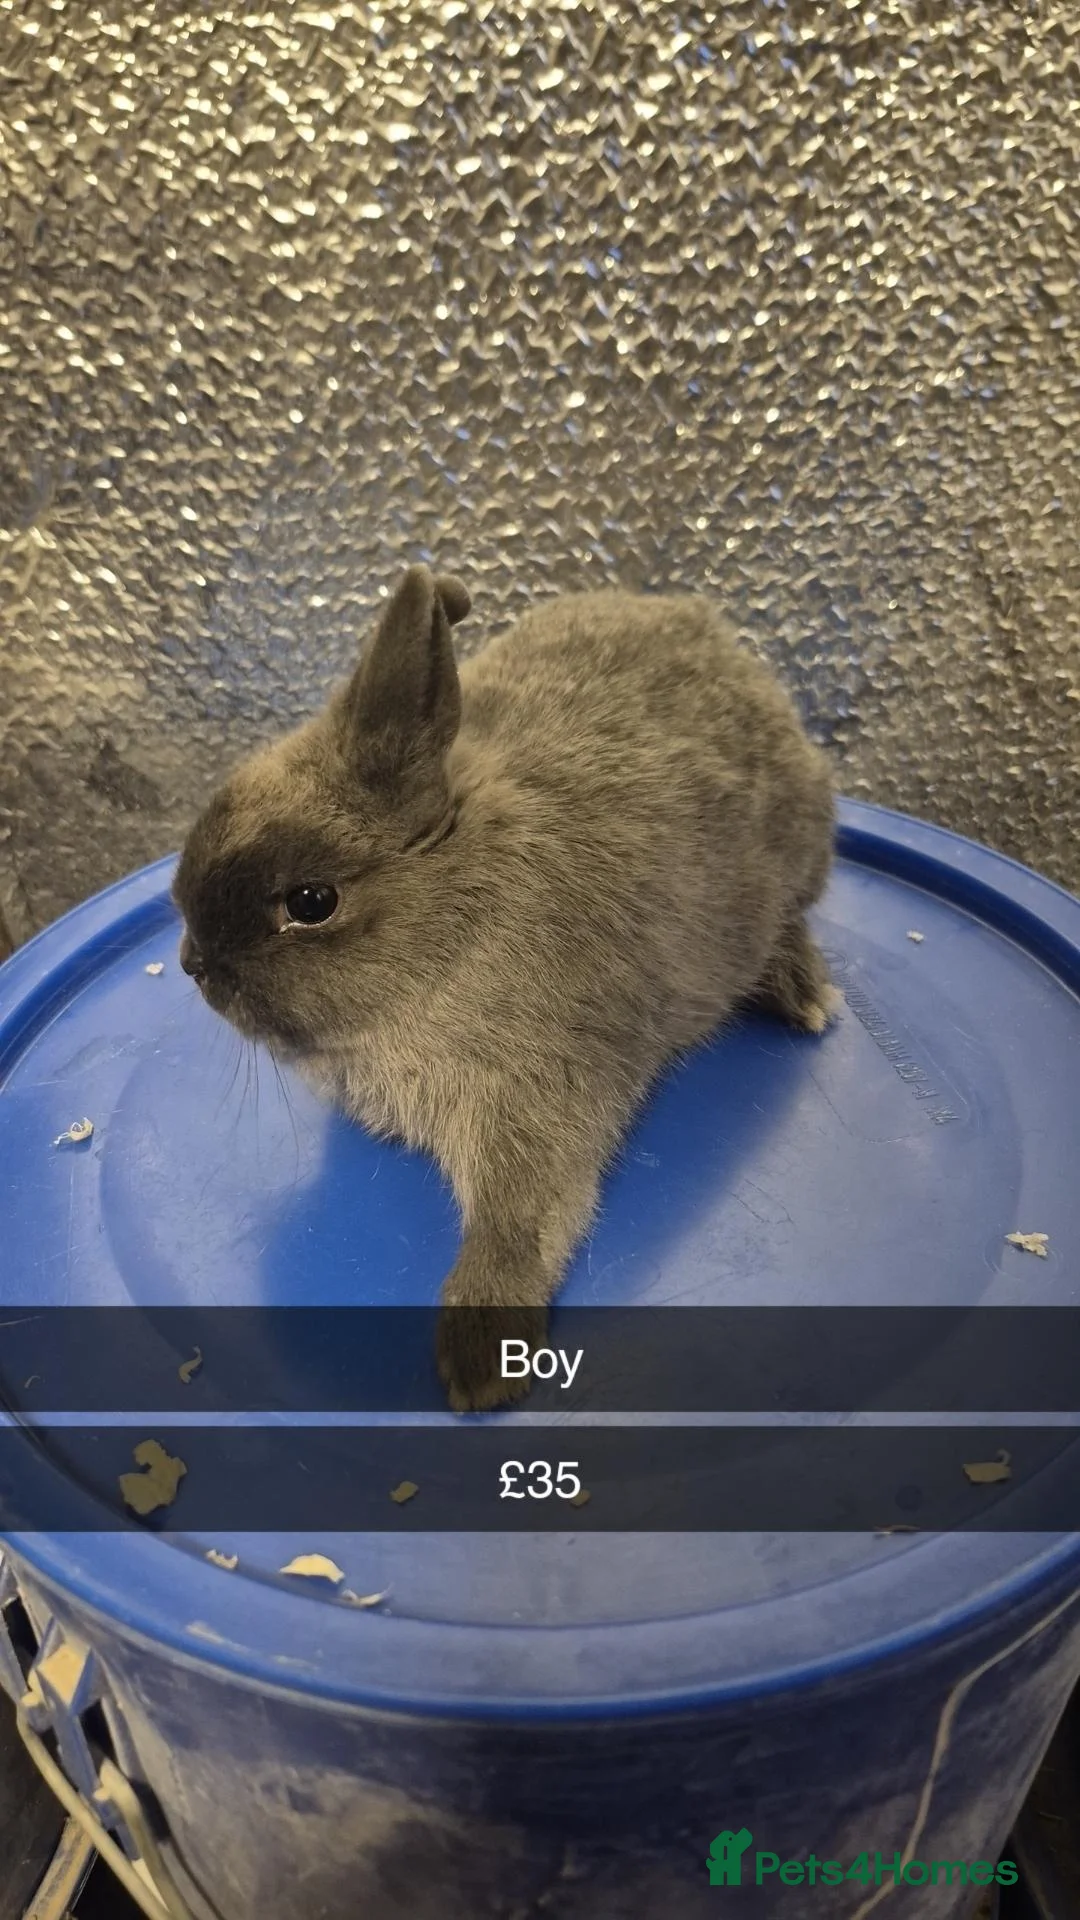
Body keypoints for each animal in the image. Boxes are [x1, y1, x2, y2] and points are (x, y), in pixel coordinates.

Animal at [173, 564, 839, 1411]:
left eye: (311, 902)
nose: (193, 962)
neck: (451, 921)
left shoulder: (538, 1097)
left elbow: (521, 1220)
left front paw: (482, 1365)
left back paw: (805, 996)